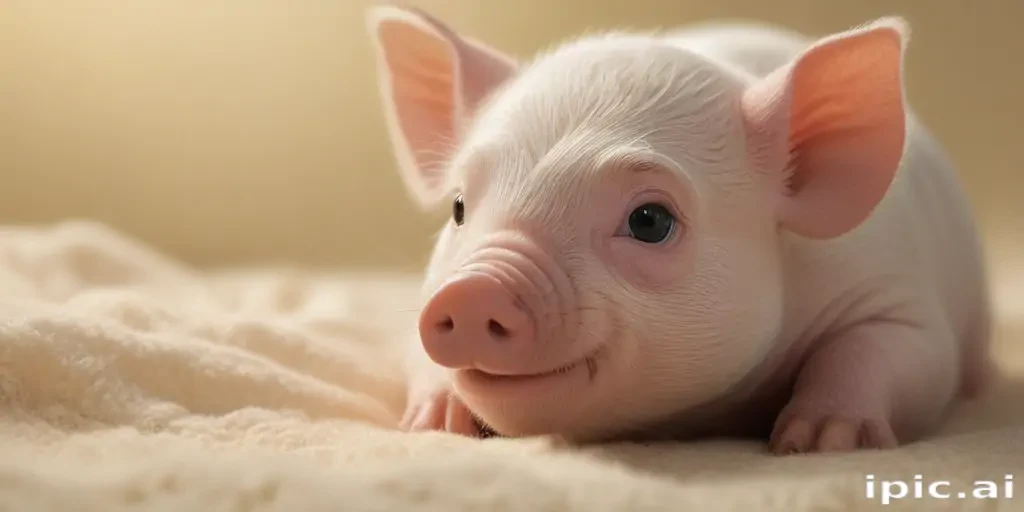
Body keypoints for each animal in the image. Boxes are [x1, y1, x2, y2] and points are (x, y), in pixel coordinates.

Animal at [365, 5, 993, 454]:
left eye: (650, 221)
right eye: (458, 207)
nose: (471, 290)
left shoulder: (897, 297)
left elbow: (890, 350)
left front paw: (820, 444)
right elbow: (415, 351)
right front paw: (435, 427)